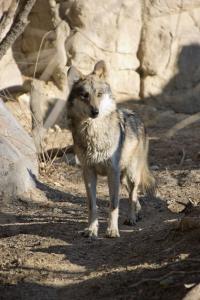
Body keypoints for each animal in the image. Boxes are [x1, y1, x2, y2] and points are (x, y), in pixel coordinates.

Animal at [66, 61, 155, 238]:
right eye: (85, 95)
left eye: (99, 94)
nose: (95, 111)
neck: (94, 134)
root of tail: (135, 114)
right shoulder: (88, 172)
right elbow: (92, 206)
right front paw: (91, 230)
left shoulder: (112, 172)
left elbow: (113, 205)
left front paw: (112, 230)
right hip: (122, 177)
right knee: (132, 195)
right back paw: (137, 212)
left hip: (131, 174)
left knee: (133, 194)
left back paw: (131, 218)